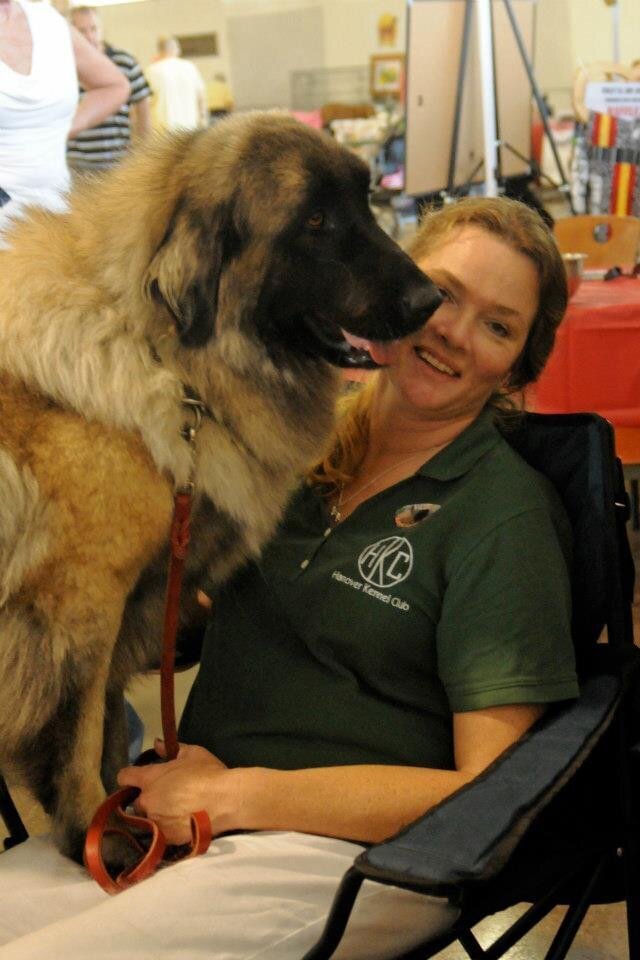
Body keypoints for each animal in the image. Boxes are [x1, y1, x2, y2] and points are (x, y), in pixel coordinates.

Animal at [0, 112, 440, 864]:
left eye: (365, 200)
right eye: (315, 221)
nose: (432, 299)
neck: (159, 352)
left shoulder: (134, 599)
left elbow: (108, 727)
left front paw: (126, 814)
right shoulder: (82, 598)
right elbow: (79, 730)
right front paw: (96, 833)